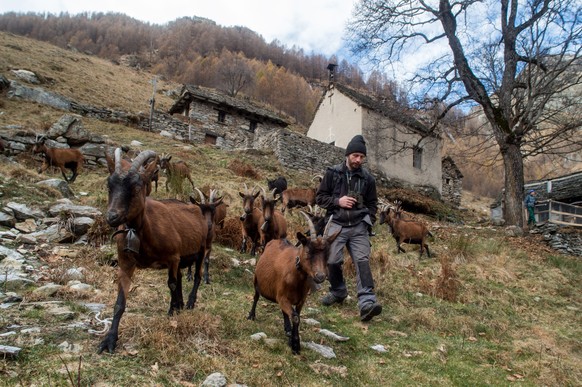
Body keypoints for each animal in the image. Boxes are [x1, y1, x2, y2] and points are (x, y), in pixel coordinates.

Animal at [98, 149, 210, 354]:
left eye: (137, 187)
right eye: (109, 185)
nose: (112, 216)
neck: (143, 231)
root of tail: (196, 207)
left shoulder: (173, 257)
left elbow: (171, 284)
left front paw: (173, 311)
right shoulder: (125, 262)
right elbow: (119, 302)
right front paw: (109, 340)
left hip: (201, 249)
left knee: (196, 276)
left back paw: (189, 303)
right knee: (180, 278)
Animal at [248, 214, 340, 356]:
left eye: (327, 254)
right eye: (308, 252)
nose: (320, 276)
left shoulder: (300, 300)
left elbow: (297, 316)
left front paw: (292, 337)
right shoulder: (282, 297)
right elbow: (296, 318)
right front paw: (295, 345)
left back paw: (287, 328)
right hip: (256, 279)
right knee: (256, 296)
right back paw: (251, 315)